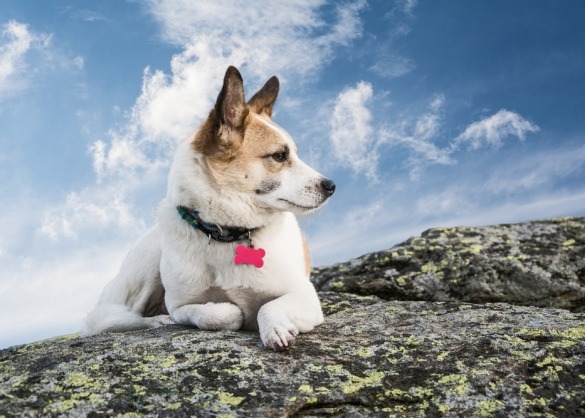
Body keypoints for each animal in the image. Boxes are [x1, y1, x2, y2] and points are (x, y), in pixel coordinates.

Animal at [84, 67, 336, 352]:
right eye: (279, 156)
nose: (331, 186)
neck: (226, 233)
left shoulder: (304, 295)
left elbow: (268, 306)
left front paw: (275, 328)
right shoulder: (181, 305)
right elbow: (214, 312)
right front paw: (231, 312)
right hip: (147, 261)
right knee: (118, 318)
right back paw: (157, 321)